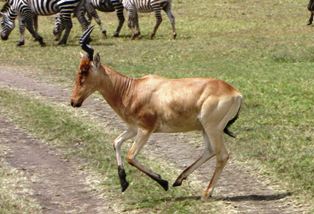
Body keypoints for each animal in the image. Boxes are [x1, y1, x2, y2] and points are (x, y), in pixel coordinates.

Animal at [70, 26, 243, 199]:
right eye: (79, 69)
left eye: (84, 71)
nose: (73, 102)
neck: (132, 89)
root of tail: (235, 93)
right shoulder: (133, 129)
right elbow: (116, 142)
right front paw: (124, 182)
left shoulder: (146, 129)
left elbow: (130, 156)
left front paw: (163, 182)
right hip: (204, 128)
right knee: (210, 151)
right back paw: (179, 179)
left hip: (212, 128)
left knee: (222, 155)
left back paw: (205, 193)